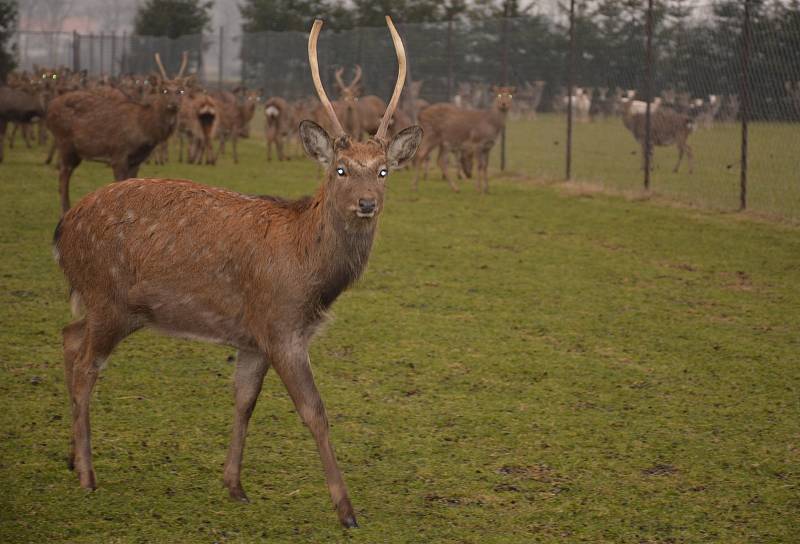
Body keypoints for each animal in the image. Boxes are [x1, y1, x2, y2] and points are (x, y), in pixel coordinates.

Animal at [47, 52, 188, 215]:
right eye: (164, 90)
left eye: (181, 90)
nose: (174, 104)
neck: (144, 130)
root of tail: (49, 107)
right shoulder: (118, 153)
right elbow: (120, 185)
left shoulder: (136, 160)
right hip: (64, 141)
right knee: (63, 176)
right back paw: (64, 212)